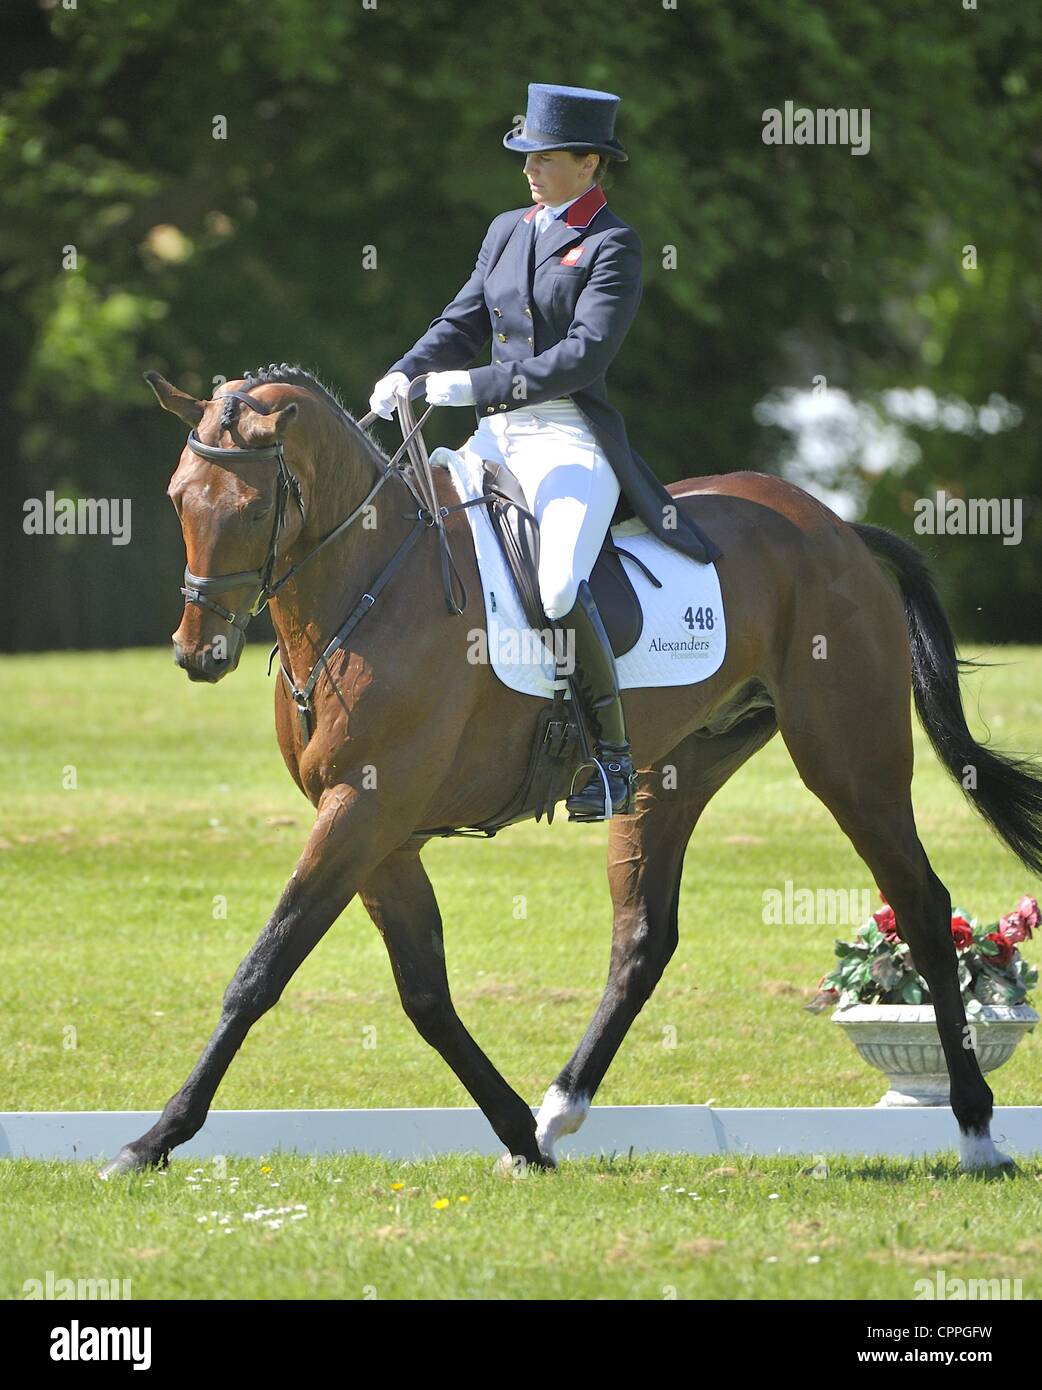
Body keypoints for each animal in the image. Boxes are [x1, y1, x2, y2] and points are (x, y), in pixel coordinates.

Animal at [102, 364, 1042, 1178]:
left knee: (922, 906)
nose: (197, 654)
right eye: (179, 498)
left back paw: (976, 1131)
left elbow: (263, 971)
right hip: (676, 771)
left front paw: (152, 1140)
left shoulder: (364, 814)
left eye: (252, 505)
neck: (367, 587)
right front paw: (520, 1134)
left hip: (850, 759)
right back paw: (559, 1110)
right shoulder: (378, 832)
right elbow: (425, 995)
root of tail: (840, 531)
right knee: (643, 939)